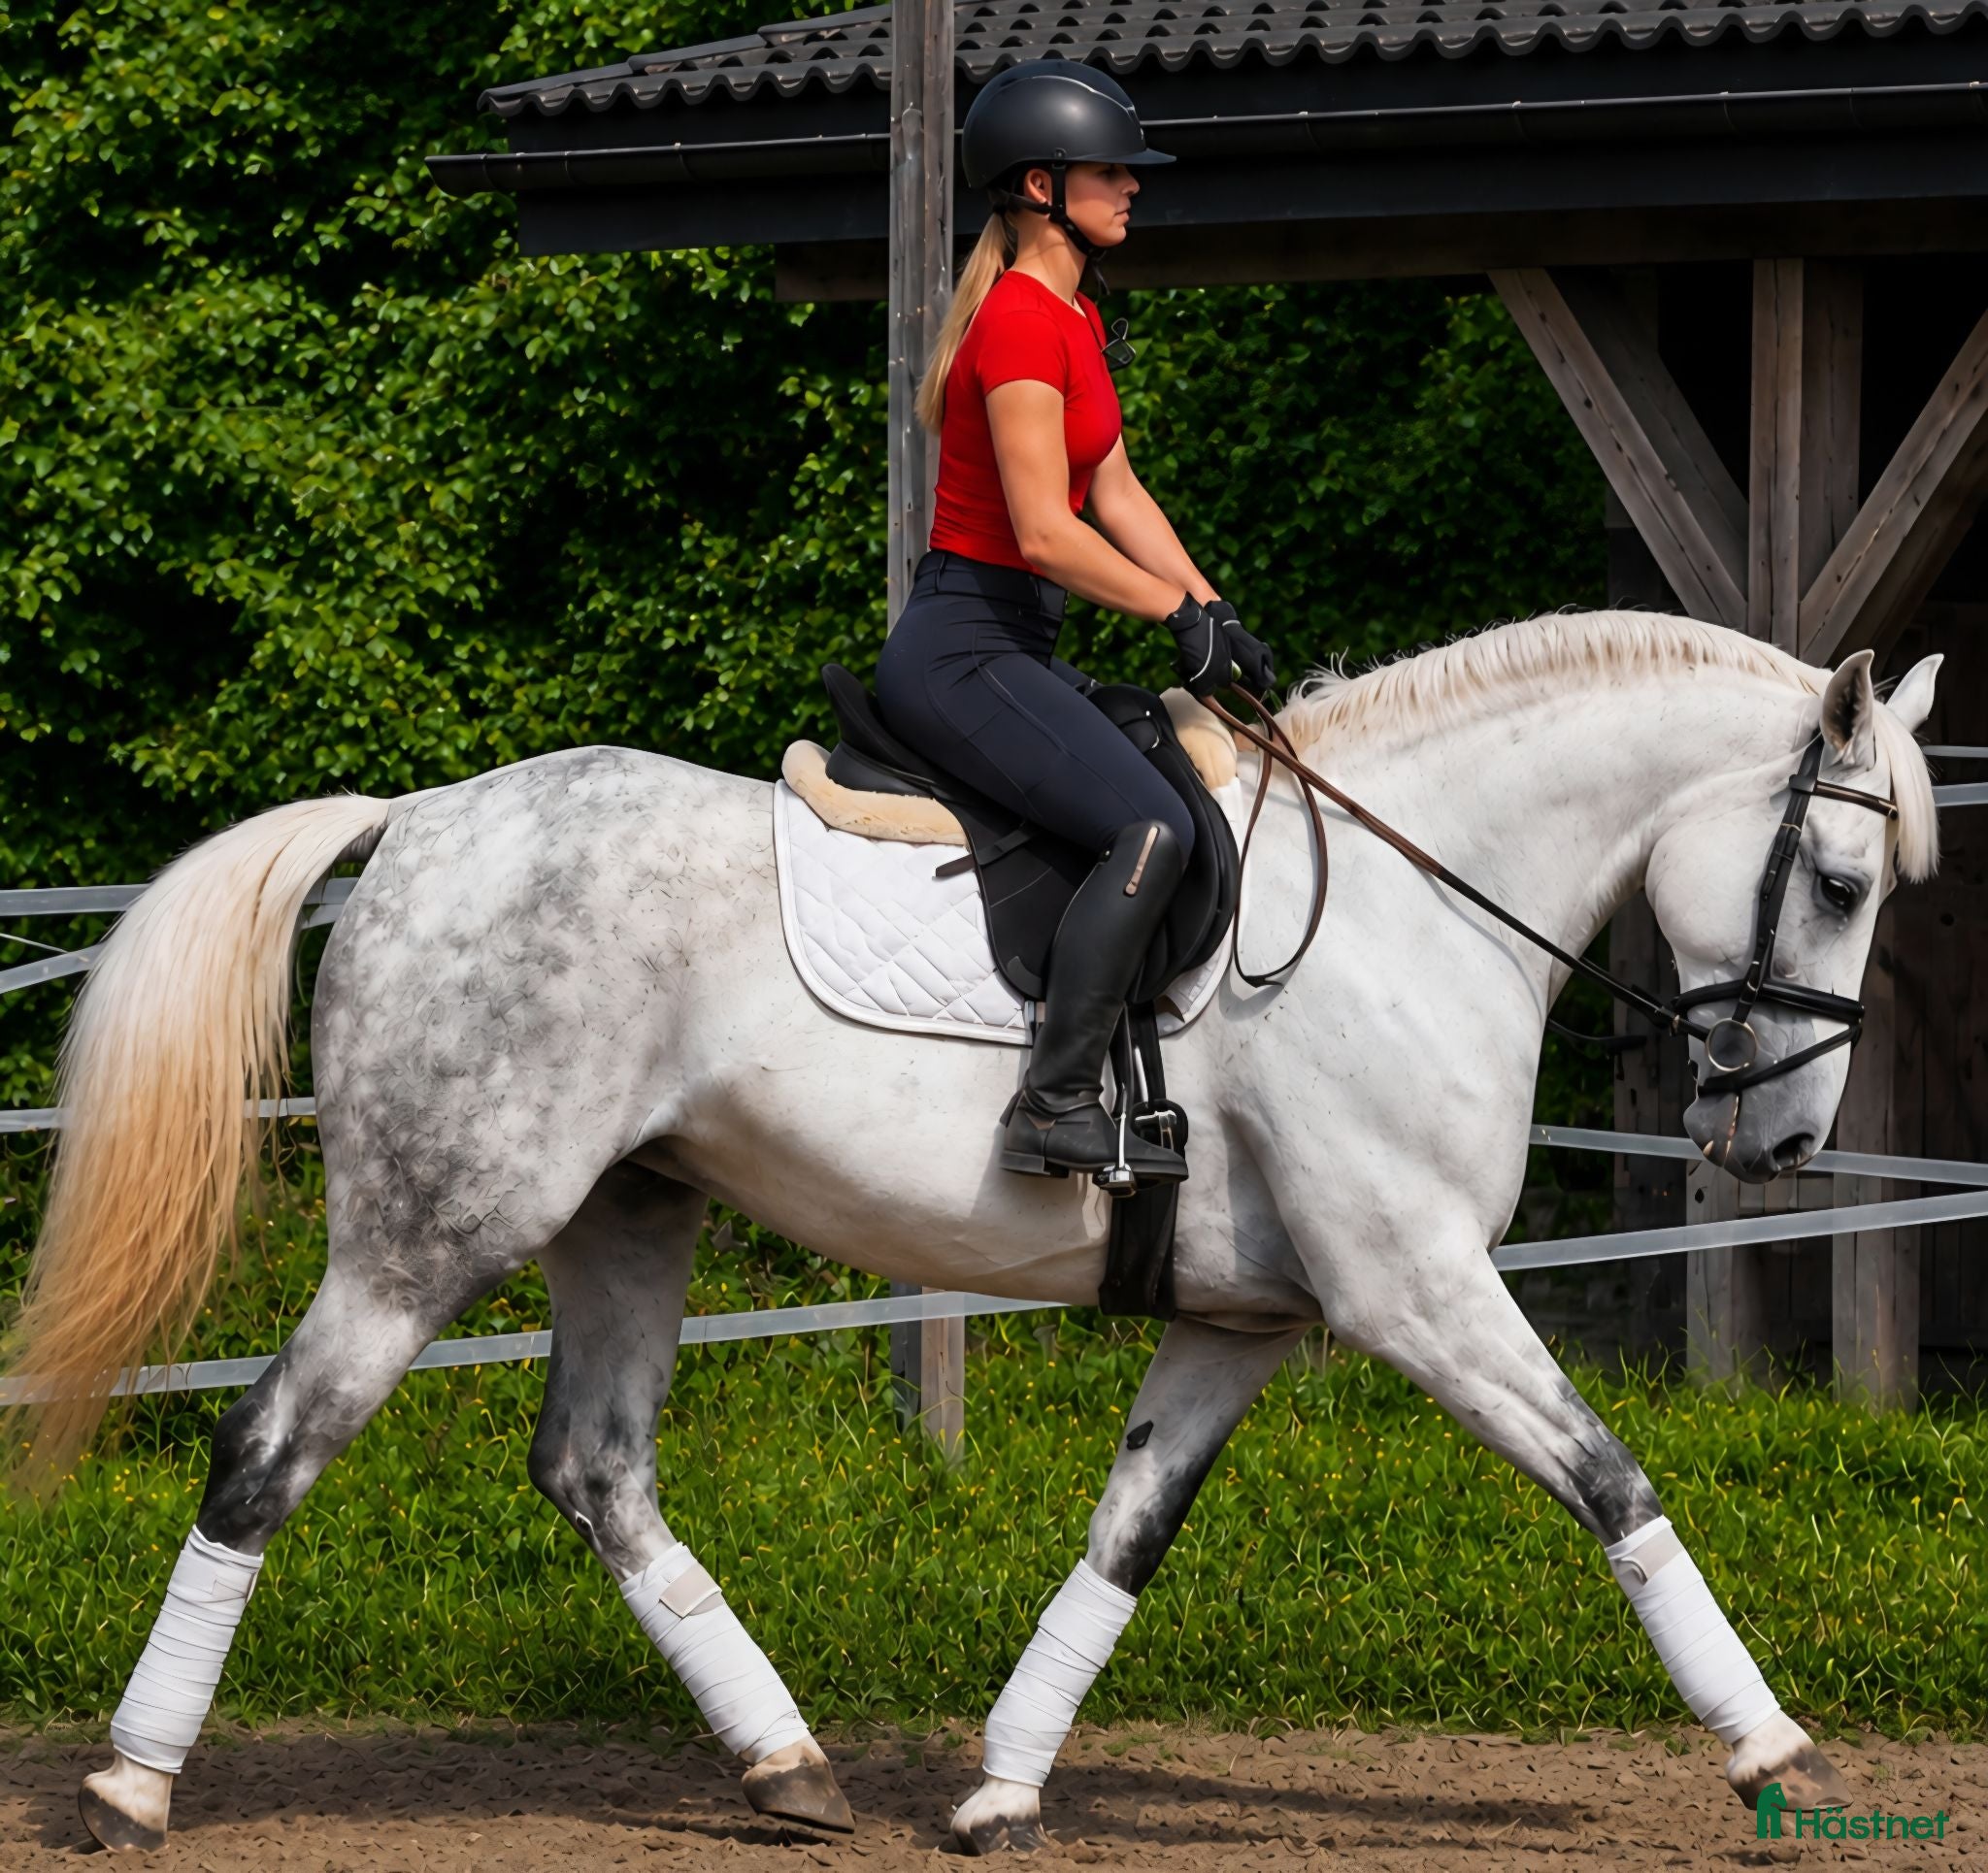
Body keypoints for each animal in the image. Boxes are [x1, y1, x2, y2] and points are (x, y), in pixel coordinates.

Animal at [4, 611, 1940, 1854]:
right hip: (431, 1229)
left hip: (629, 1212)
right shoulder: (1415, 1288)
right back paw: (130, 1781)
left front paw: (1003, 1783)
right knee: (270, 1449)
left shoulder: (1240, 1319)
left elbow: (1123, 1540)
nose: (1779, 1140)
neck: (1410, 901)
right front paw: (1771, 1753)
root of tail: (416, 821)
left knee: (596, 1469)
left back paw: (786, 1765)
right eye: (1843, 884)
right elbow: (1611, 1482)